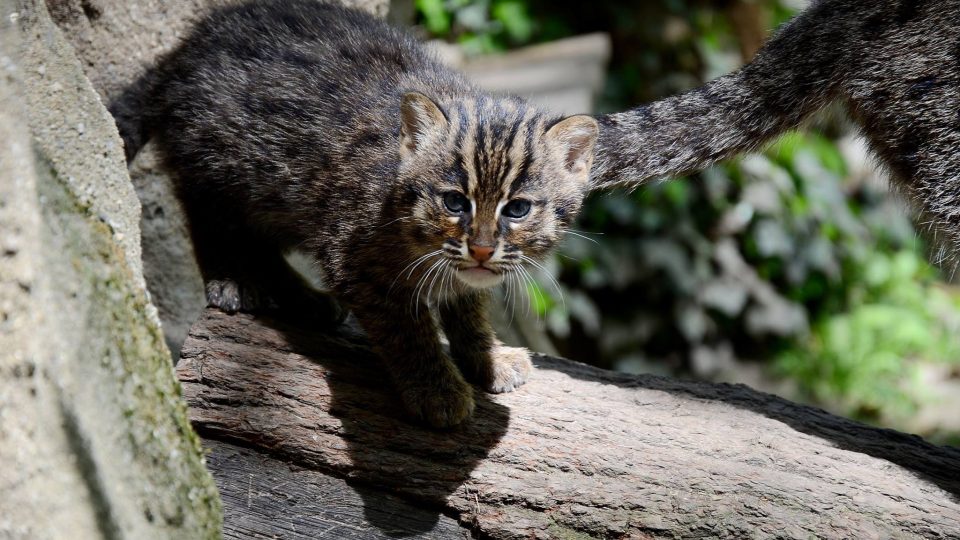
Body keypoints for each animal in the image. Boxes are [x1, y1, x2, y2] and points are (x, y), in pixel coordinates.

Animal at [114, 1, 600, 430]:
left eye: (517, 209)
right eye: (454, 202)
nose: (480, 249)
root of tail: (185, 52)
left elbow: (466, 304)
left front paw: (488, 357)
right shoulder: (353, 257)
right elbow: (407, 330)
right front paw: (436, 390)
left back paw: (302, 299)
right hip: (216, 168)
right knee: (208, 223)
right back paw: (235, 281)